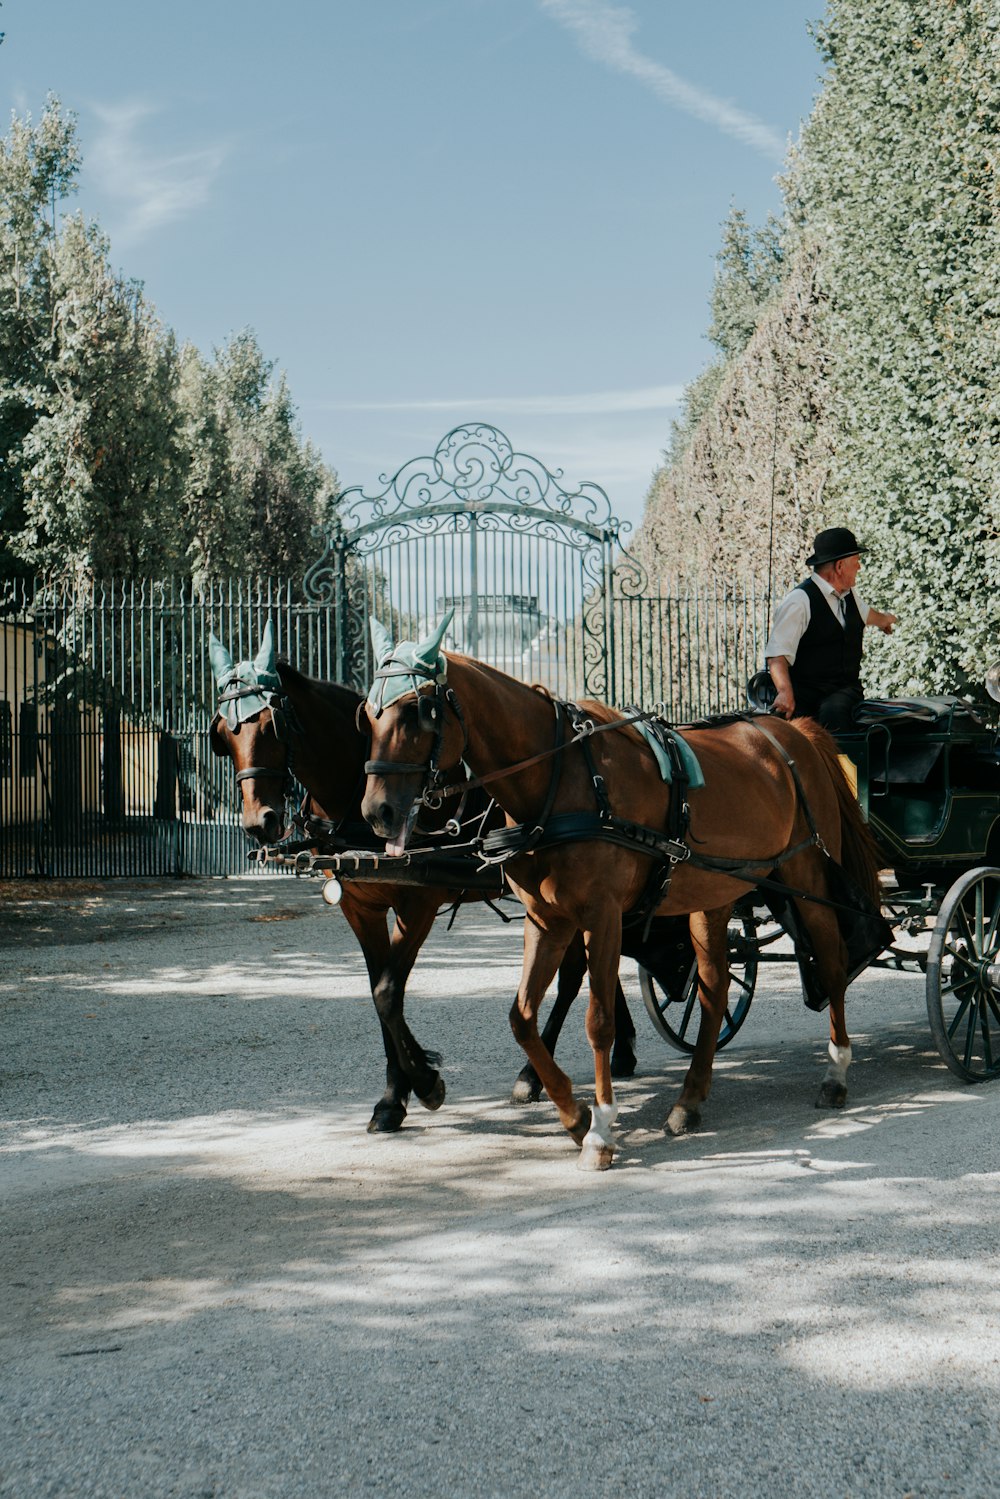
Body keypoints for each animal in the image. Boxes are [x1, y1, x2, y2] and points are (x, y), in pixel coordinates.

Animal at [206, 626, 638, 1127]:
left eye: (272, 726)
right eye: (223, 734)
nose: (261, 822)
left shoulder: (418, 903)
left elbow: (389, 992)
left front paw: (424, 1081)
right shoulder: (359, 907)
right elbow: (378, 993)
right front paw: (395, 1094)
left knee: (572, 975)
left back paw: (534, 1073)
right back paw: (621, 1050)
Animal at [359, 617, 881, 1169]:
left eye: (417, 711)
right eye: (368, 715)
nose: (377, 812)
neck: (560, 779)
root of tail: (793, 729)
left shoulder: (601, 915)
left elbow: (599, 1021)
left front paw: (601, 1128)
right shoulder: (547, 919)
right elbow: (522, 1018)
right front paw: (573, 1116)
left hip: (806, 876)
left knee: (831, 958)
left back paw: (836, 1071)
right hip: (712, 895)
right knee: (715, 988)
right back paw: (690, 1099)